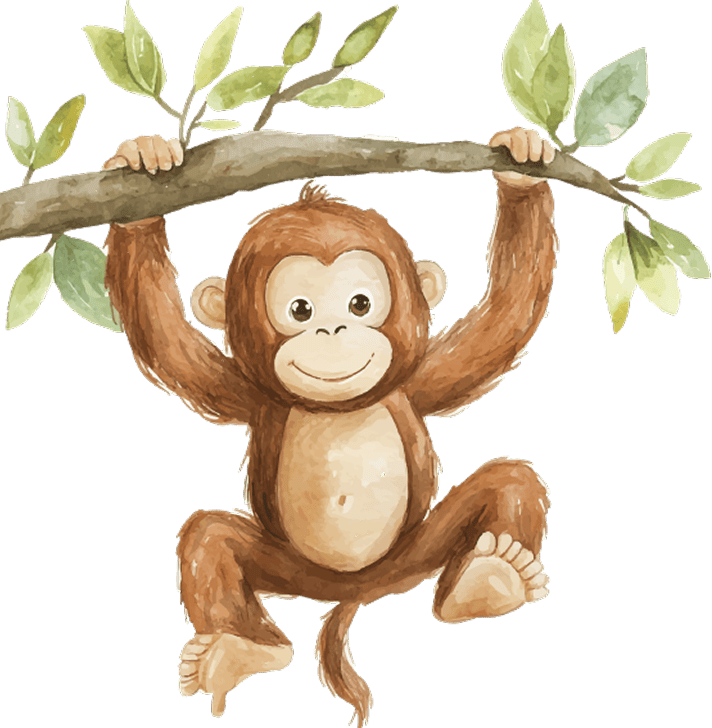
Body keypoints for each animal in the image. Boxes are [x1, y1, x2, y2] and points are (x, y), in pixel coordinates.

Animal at [101, 127, 557, 726]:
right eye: (299, 309)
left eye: (360, 302)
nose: (332, 328)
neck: (339, 408)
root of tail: (356, 587)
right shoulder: (249, 396)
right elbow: (165, 339)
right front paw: (143, 160)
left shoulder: (416, 384)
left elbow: (503, 318)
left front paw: (522, 160)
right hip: (294, 570)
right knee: (209, 540)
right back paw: (237, 649)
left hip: (416, 550)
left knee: (510, 482)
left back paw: (491, 577)